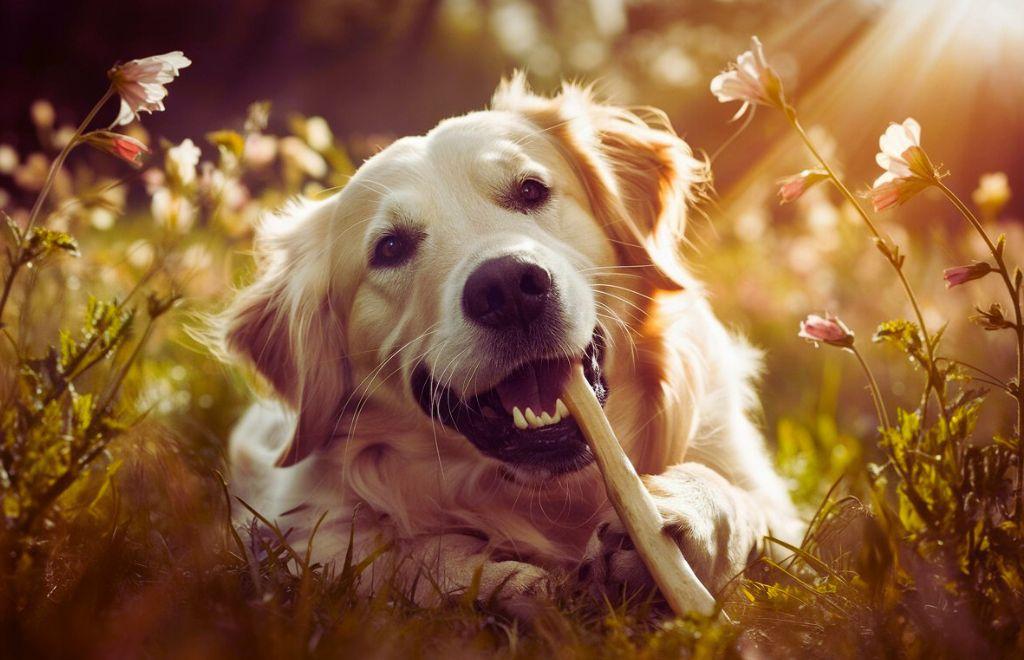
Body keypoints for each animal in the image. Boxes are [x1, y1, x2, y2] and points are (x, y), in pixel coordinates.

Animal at [220, 74, 802, 609]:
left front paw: (689, 512)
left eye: (531, 191)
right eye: (389, 248)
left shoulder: (777, 515)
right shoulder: (298, 529)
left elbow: (744, 505)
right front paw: (494, 582)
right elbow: (389, 557)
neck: (557, 498)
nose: (507, 288)